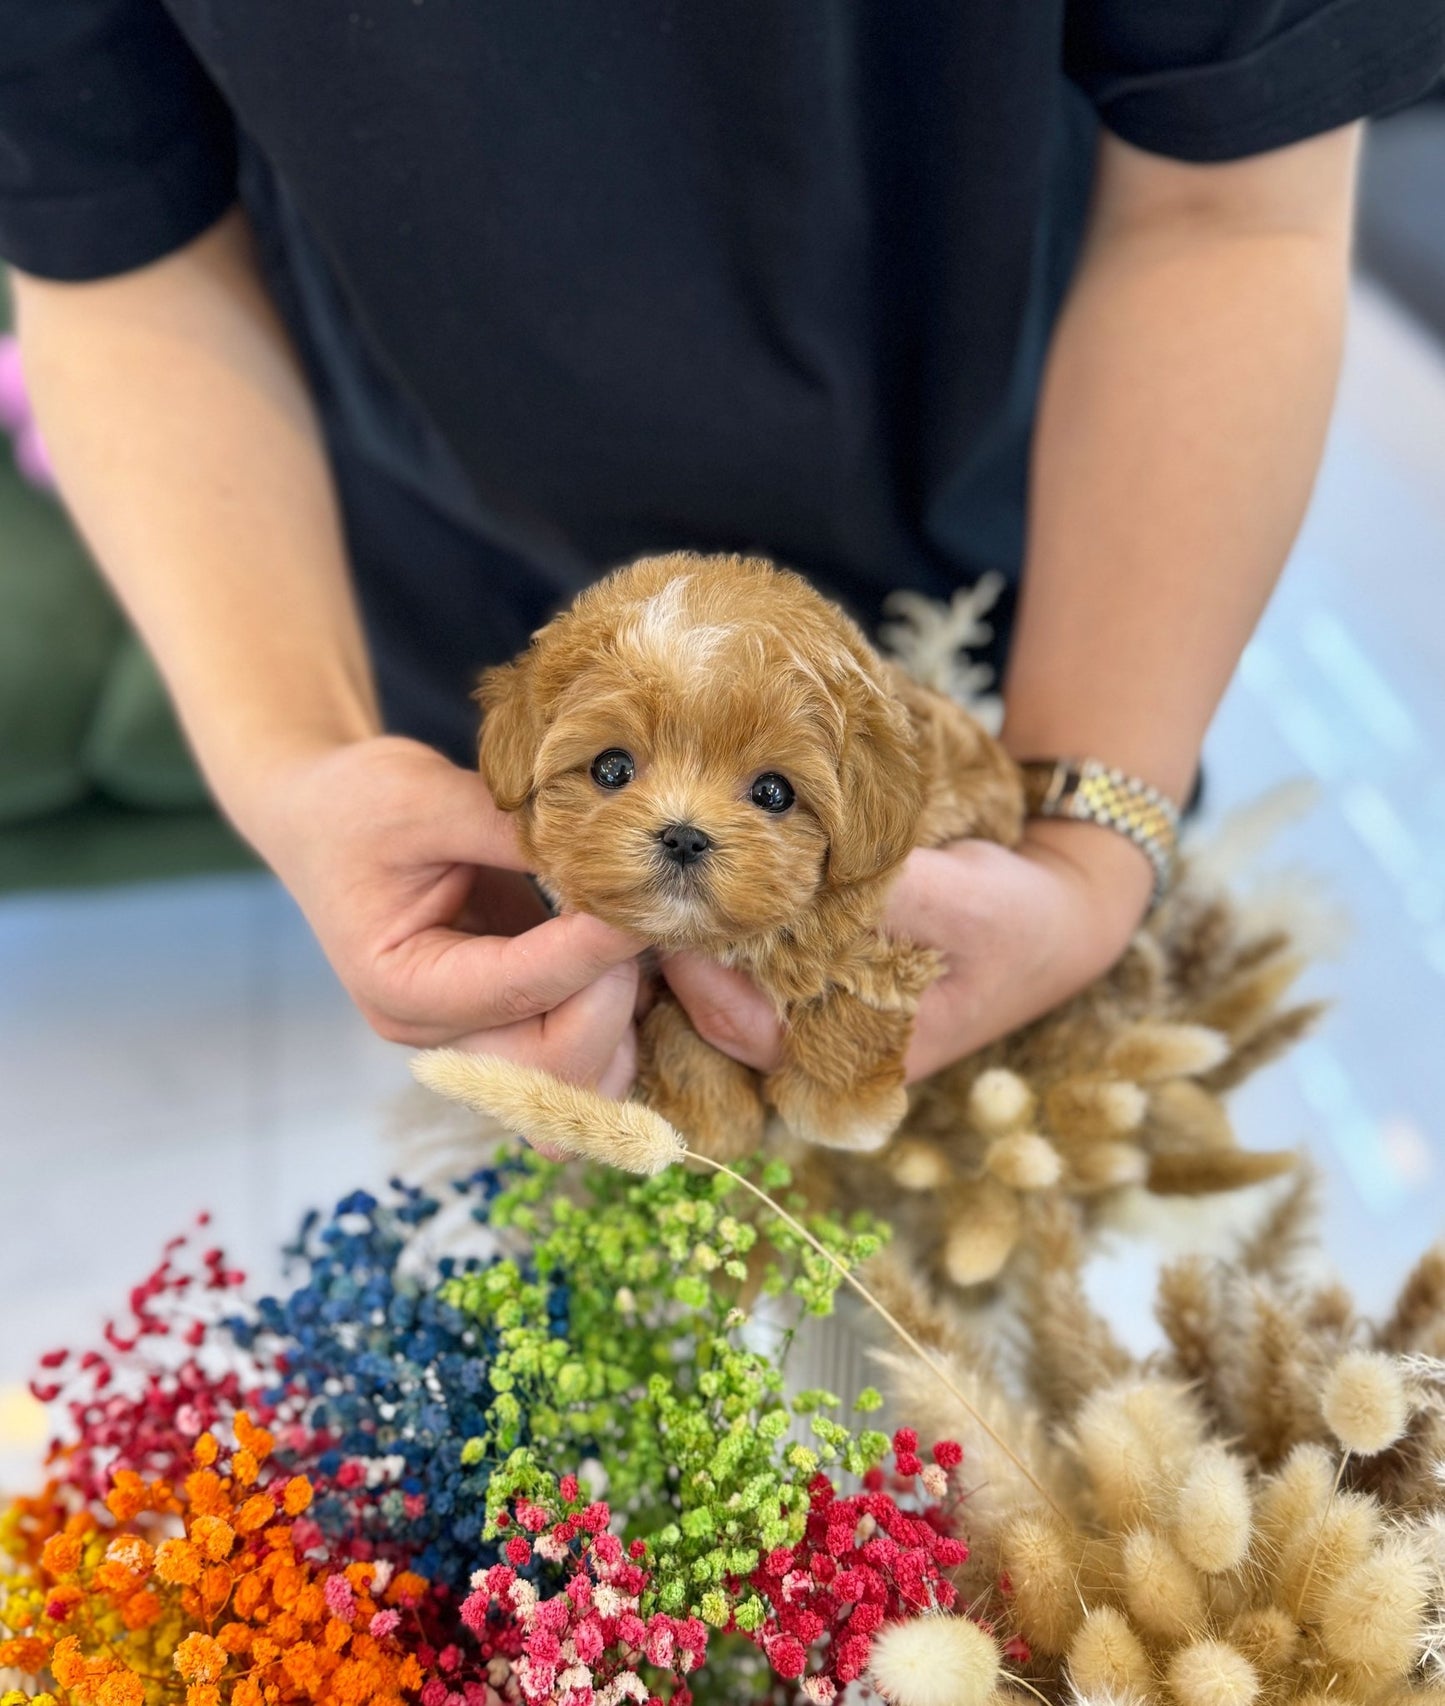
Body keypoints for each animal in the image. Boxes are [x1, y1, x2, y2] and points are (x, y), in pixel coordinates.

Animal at [467, 545, 1023, 1160]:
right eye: (611, 768)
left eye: (773, 792)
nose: (684, 836)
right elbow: (681, 1030)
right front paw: (709, 1119)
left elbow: (854, 974)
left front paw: (840, 1108)